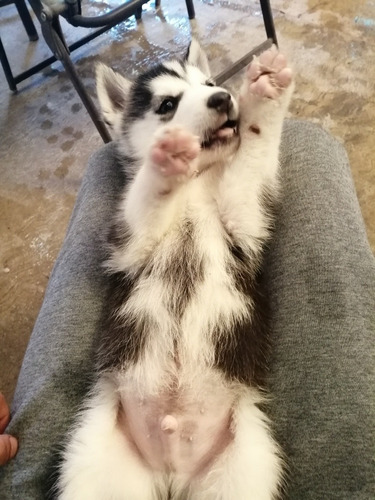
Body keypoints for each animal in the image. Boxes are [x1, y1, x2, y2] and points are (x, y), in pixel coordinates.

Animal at [58, 40, 294, 500]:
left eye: (210, 83)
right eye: (168, 104)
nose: (222, 98)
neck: (194, 190)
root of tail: (172, 471)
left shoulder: (244, 223)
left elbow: (252, 155)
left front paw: (266, 93)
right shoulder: (127, 242)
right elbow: (145, 197)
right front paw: (162, 162)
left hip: (246, 463)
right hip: (93, 456)